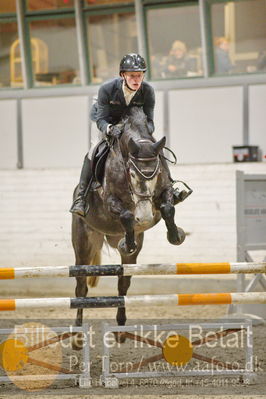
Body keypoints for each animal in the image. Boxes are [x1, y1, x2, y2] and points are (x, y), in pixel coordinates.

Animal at [71, 105, 186, 338]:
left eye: (156, 172)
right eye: (131, 173)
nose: (144, 217)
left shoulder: (163, 192)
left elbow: (168, 208)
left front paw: (175, 235)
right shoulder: (110, 201)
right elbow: (126, 215)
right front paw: (130, 236)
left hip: (127, 258)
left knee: (123, 284)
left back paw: (121, 329)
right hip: (84, 245)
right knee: (80, 287)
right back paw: (77, 336)